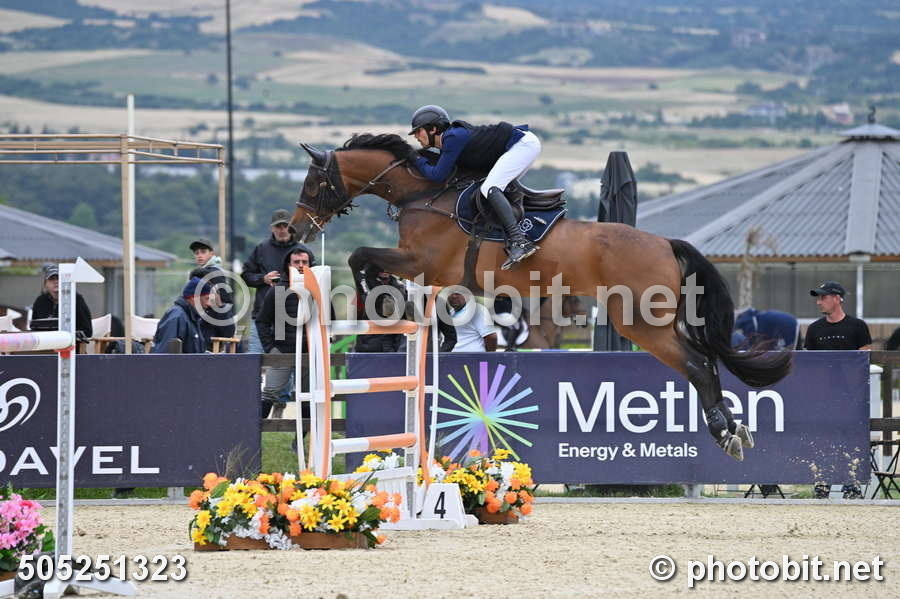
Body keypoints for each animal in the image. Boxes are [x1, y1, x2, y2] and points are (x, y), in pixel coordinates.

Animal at [291, 133, 793, 460]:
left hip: (640, 322)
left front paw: (380, 293)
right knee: (705, 360)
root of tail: (665, 243)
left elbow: (361, 256)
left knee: (695, 364)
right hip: (657, 321)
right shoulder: (436, 274)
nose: (297, 231)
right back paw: (736, 428)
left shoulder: (421, 262)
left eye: (313, 184)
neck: (423, 195)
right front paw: (417, 316)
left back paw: (724, 433)